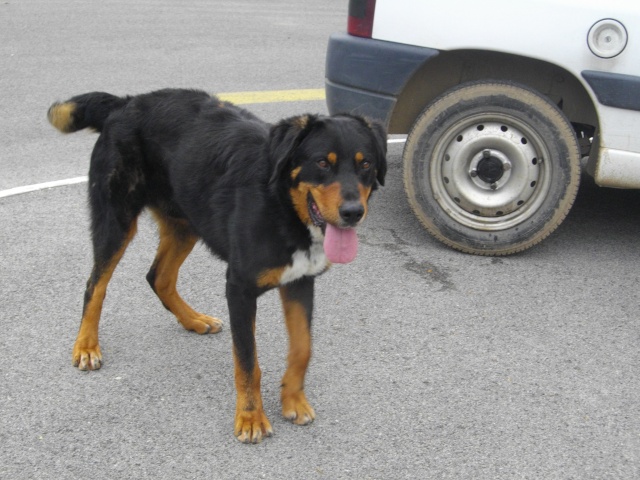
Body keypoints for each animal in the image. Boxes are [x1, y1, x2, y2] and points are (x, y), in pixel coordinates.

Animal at [47, 89, 388, 442]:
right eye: (322, 163)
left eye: (366, 164)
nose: (353, 212)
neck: (280, 204)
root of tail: (126, 102)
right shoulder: (239, 289)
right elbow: (247, 361)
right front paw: (250, 417)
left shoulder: (300, 281)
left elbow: (302, 349)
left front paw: (293, 399)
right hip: (116, 220)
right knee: (95, 285)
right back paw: (86, 346)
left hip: (185, 223)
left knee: (159, 277)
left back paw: (193, 320)